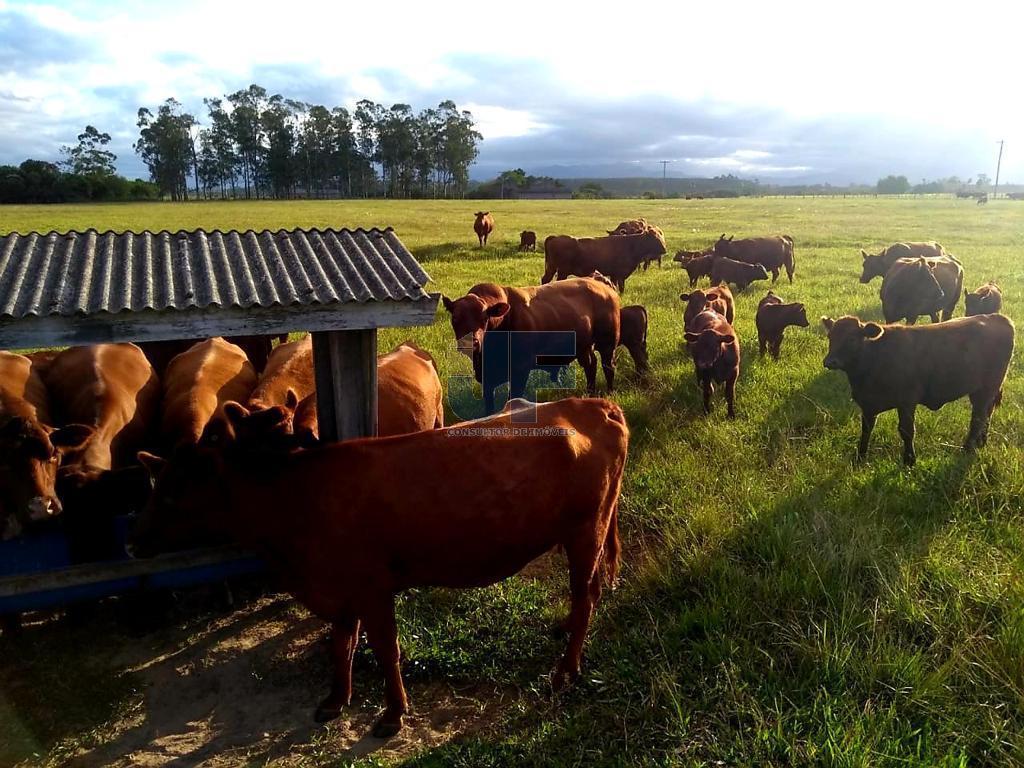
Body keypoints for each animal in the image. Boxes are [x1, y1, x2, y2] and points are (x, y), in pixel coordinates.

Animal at [128, 397, 622, 741]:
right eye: (155, 486)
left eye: (173, 493)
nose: (134, 541)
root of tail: (592, 403)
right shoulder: (340, 589)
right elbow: (340, 646)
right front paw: (336, 700)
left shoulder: (371, 588)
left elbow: (386, 650)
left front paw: (393, 714)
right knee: (592, 591)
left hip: (585, 533)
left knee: (586, 596)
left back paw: (565, 671)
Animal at [440, 280, 614, 415]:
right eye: (455, 318)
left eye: (484, 319)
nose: (470, 343)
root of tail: (603, 285)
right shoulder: (486, 377)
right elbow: (489, 405)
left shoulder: (520, 370)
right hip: (584, 348)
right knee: (591, 365)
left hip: (607, 345)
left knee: (608, 367)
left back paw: (610, 391)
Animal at [819, 313, 1011, 468]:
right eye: (830, 337)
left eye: (852, 339)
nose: (830, 361)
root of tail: (996, 317)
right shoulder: (868, 405)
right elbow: (866, 430)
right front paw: (860, 457)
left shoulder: (906, 401)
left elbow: (907, 431)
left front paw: (909, 460)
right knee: (987, 414)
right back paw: (981, 441)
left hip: (986, 389)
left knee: (978, 417)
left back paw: (967, 448)